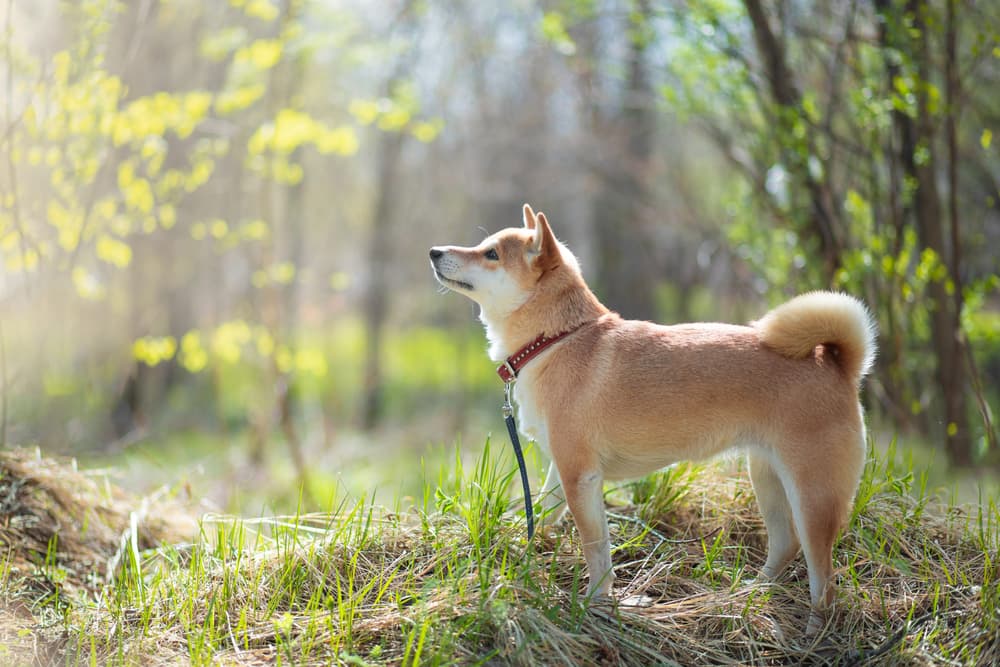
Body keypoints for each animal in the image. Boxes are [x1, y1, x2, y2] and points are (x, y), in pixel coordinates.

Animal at [428, 204, 876, 632]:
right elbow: (543, 513)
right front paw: (520, 549)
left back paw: (815, 631)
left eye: (491, 253)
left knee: (825, 580)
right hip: (767, 478)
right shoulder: (564, 472)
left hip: (812, 497)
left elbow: (595, 548)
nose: (433, 251)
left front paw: (595, 602)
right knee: (785, 545)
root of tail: (835, 363)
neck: (557, 339)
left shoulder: (580, 477)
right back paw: (748, 593)